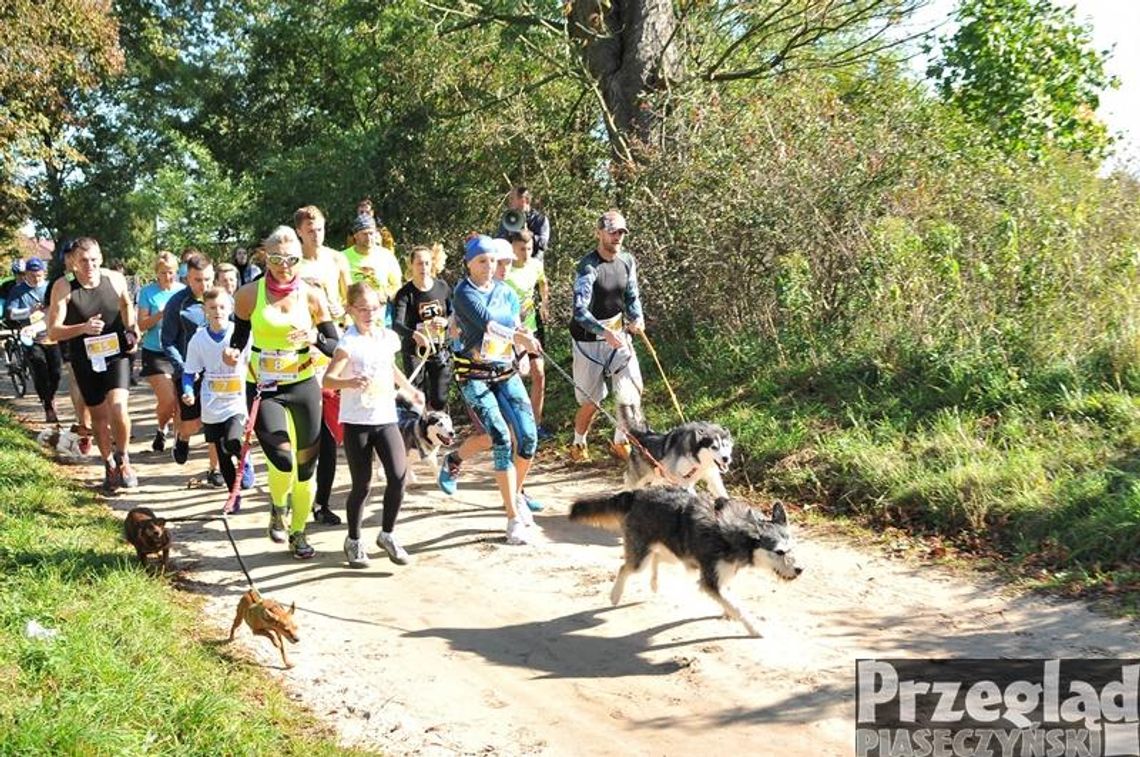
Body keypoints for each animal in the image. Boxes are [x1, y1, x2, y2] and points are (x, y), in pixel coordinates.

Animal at [570, 487, 802, 633]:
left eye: (792, 548)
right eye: (779, 552)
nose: (800, 569)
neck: (735, 533)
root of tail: (637, 493)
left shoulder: (723, 574)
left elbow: (730, 600)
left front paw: (729, 612)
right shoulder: (711, 580)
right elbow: (737, 607)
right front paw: (753, 627)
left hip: (675, 551)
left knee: (657, 558)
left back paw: (654, 583)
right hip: (641, 559)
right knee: (625, 568)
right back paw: (616, 595)